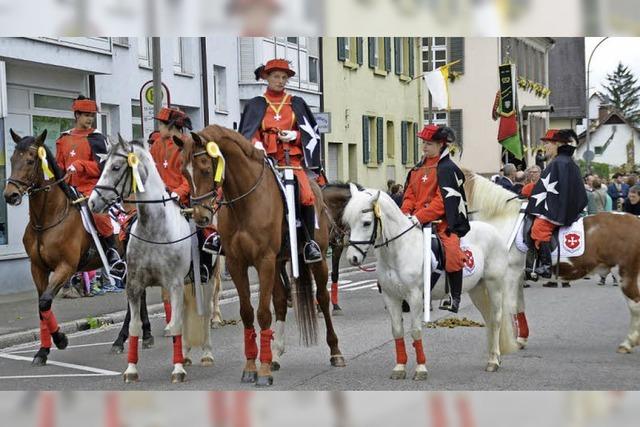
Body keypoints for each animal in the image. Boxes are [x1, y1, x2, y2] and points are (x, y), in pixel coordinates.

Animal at [2, 130, 153, 364]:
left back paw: (122, 339)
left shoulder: (66, 267)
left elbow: (45, 302)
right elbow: (41, 307)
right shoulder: (38, 268)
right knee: (139, 295)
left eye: (30, 160)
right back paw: (141, 335)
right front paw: (42, 351)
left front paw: (60, 339)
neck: (47, 220)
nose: (11, 195)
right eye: (11, 159)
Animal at [88, 138, 215, 384]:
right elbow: (135, 327)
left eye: (116, 167)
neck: (154, 229)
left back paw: (206, 354)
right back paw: (185, 354)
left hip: (207, 279)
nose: (92, 203)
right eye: (103, 166)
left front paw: (177, 370)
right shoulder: (134, 285)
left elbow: (175, 324)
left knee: (204, 316)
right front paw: (131, 369)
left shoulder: (174, 284)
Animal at [175, 123, 344, 388]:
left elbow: (263, 313)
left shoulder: (264, 261)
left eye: (205, 168)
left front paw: (262, 372)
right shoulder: (237, 263)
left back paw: (335, 352)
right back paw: (275, 354)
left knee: (323, 299)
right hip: (278, 262)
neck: (245, 202)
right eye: (184, 172)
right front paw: (252, 366)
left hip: (316, 261)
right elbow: (247, 313)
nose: (201, 216)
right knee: (281, 301)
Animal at [342, 186, 516, 380]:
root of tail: (493, 230)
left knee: (496, 319)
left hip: (494, 285)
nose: (353, 258)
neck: (400, 250)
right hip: (477, 290)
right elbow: (397, 330)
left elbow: (416, 330)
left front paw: (420, 369)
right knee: (489, 320)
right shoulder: (391, 296)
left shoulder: (415, 296)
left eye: (366, 223)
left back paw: (493, 361)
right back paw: (493, 356)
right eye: (348, 222)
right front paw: (399, 367)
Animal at [462, 171, 640, 354]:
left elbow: (508, 307)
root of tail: (635, 220)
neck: (503, 219)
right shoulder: (518, 276)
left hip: (625, 274)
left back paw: (628, 343)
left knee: (635, 305)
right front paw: (521, 339)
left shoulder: (509, 275)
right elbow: (519, 306)